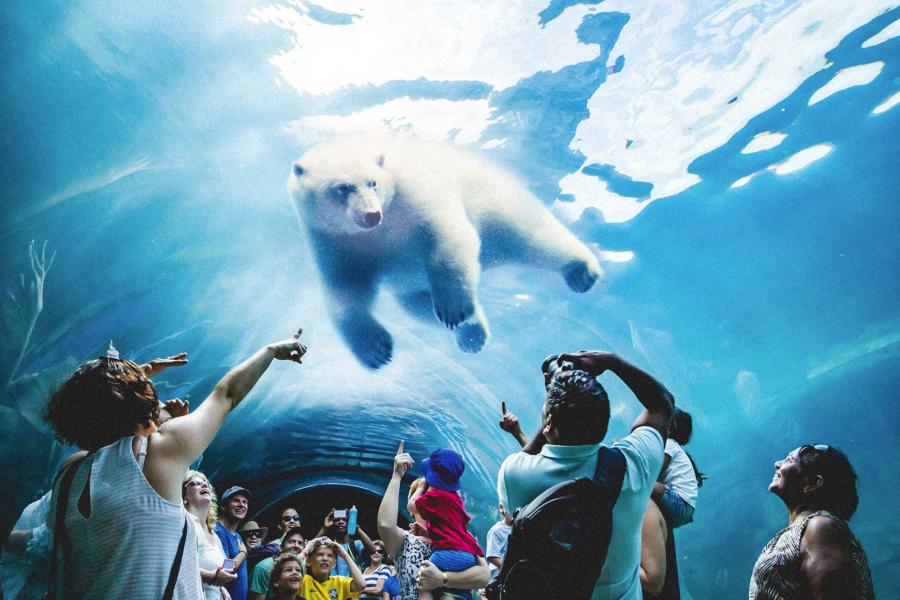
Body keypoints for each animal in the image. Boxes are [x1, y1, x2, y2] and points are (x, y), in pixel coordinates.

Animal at [288, 136, 596, 368]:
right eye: (342, 188)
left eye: (372, 182)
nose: (371, 216)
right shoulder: (336, 241)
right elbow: (345, 290)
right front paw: (375, 349)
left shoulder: (414, 195)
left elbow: (449, 238)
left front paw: (453, 308)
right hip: (410, 286)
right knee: (416, 304)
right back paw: (472, 333)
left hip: (497, 205)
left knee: (534, 240)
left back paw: (582, 271)